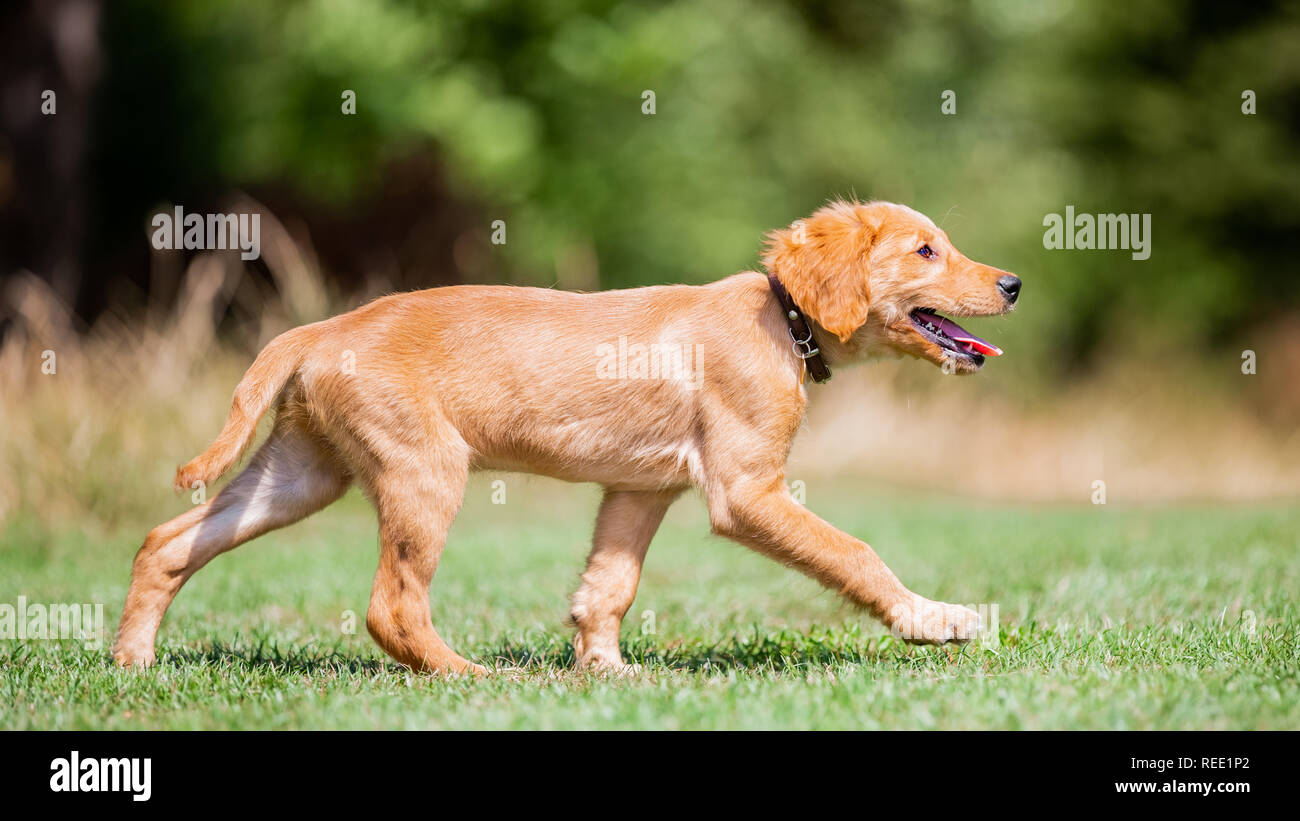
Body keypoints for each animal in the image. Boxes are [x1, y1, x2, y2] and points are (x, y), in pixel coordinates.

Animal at [114, 198, 1013, 675]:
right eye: (925, 250)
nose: (1012, 282)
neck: (782, 318)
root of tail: (320, 327)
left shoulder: (641, 487)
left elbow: (608, 584)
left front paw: (606, 670)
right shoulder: (744, 490)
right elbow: (855, 551)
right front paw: (933, 618)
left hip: (302, 471)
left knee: (166, 541)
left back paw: (132, 660)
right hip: (424, 468)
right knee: (390, 604)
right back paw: (468, 675)